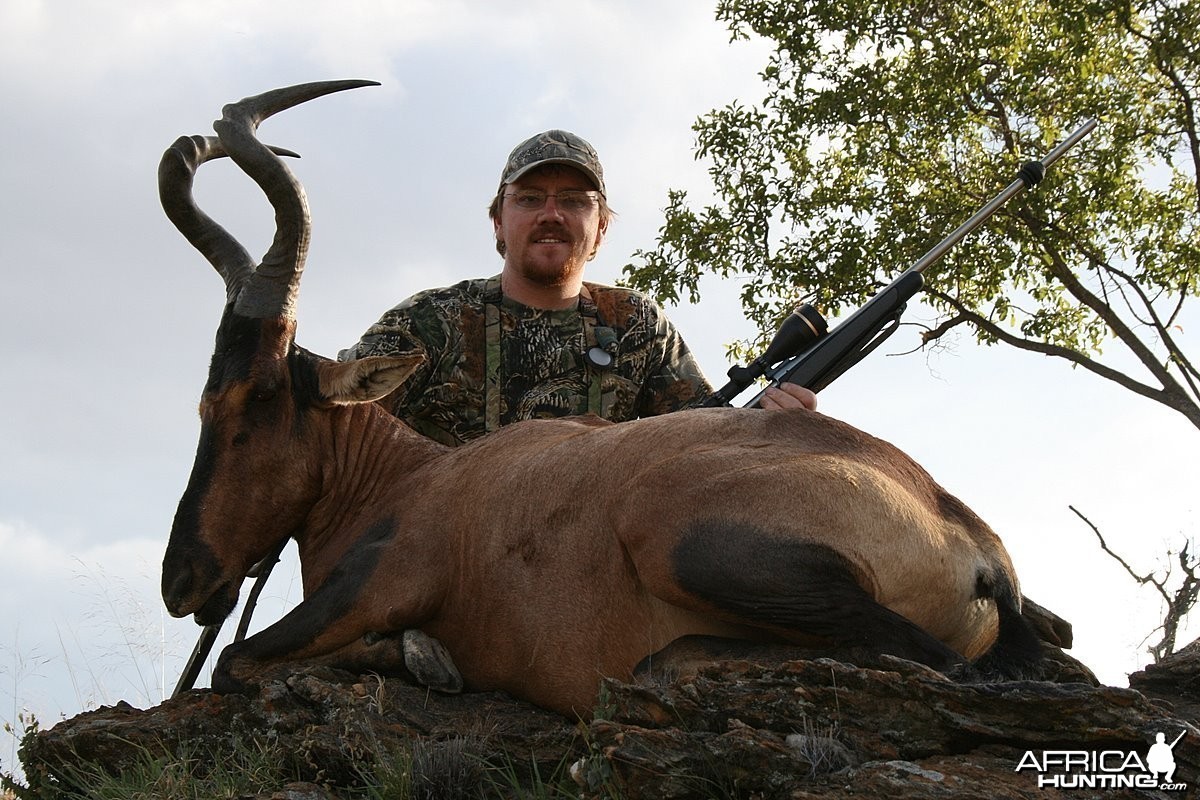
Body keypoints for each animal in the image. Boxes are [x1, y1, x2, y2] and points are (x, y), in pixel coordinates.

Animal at [162, 79, 1051, 719]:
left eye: (255, 400)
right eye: (202, 401)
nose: (183, 580)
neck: (415, 481)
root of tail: (971, 538)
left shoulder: (385, 583)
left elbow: (239, 661)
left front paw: (422, 657)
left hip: (683, 537)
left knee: (928, 665)